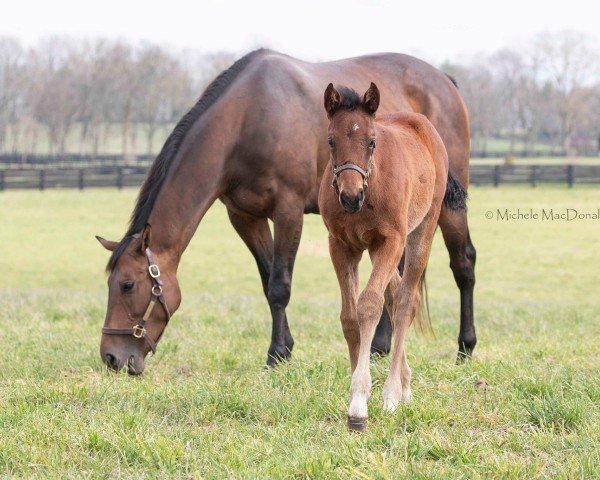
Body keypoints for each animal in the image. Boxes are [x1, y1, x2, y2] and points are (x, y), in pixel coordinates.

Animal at [96, 48, 476, 374]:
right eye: (110, 283)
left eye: (128, 285)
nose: (112, 357)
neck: (248, 118)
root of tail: (445, 81)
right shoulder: (245, 217)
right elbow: (268, 282)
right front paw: (286, 349)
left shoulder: (288, 211)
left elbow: (280, 284)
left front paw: (276, 354)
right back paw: (381, 347)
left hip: (446, 207)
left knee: (463, 263)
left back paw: (464, 348)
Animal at [318, 82, 468, 432]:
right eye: (331, 140)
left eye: (372, 141)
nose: (350, 196)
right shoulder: (341, 245)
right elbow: (349, 316)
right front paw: (357, 394)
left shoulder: (391, 240)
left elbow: (370, 305)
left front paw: (360, 405)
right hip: (376, 248)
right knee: (396, 293)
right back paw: (405, 384)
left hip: (419, 231)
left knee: (405, 302)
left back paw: (392, 395)